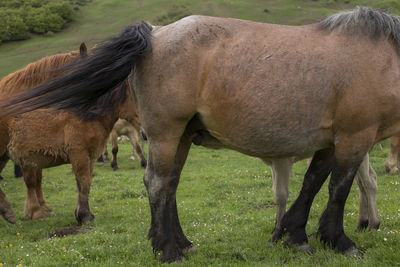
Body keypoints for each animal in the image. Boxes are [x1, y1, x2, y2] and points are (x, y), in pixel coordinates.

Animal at [0, 44, 141, 224]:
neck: (85, 114)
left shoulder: (90, 156)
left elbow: (86, 182)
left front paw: (80, 213)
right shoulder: (78, 154)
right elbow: (82, 181)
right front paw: (84, 215)